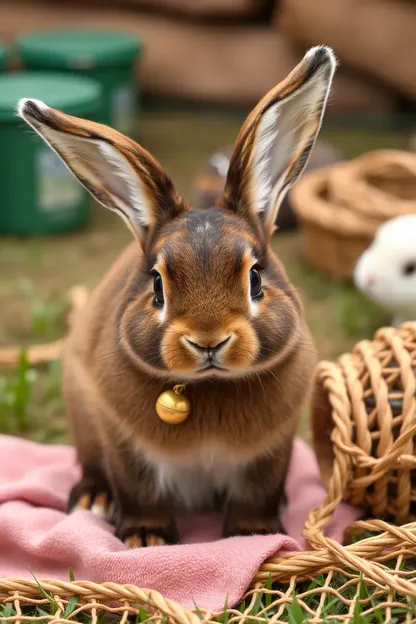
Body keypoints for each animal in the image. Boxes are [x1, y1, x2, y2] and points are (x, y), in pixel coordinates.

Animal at [19, 46, 336, 548]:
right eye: (157, 285)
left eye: (255, 279)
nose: (208, 340)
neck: (208, 386)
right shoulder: (125, 443)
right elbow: (139, 489)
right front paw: (146, 539)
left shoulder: (270, 454)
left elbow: (258, 493)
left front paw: (252, 535)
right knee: (92, 466)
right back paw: (94, 499)